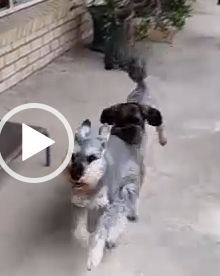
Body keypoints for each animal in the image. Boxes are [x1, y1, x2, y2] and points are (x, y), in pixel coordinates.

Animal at [65, 56, 167, 270]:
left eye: (93, 157)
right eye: (73, 156)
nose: (75, 175)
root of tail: (141, 88)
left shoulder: (111, 204)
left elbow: (102, 230)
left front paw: (94, 256)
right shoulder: (78, 205)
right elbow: (78, 229)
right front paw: (83, 239)